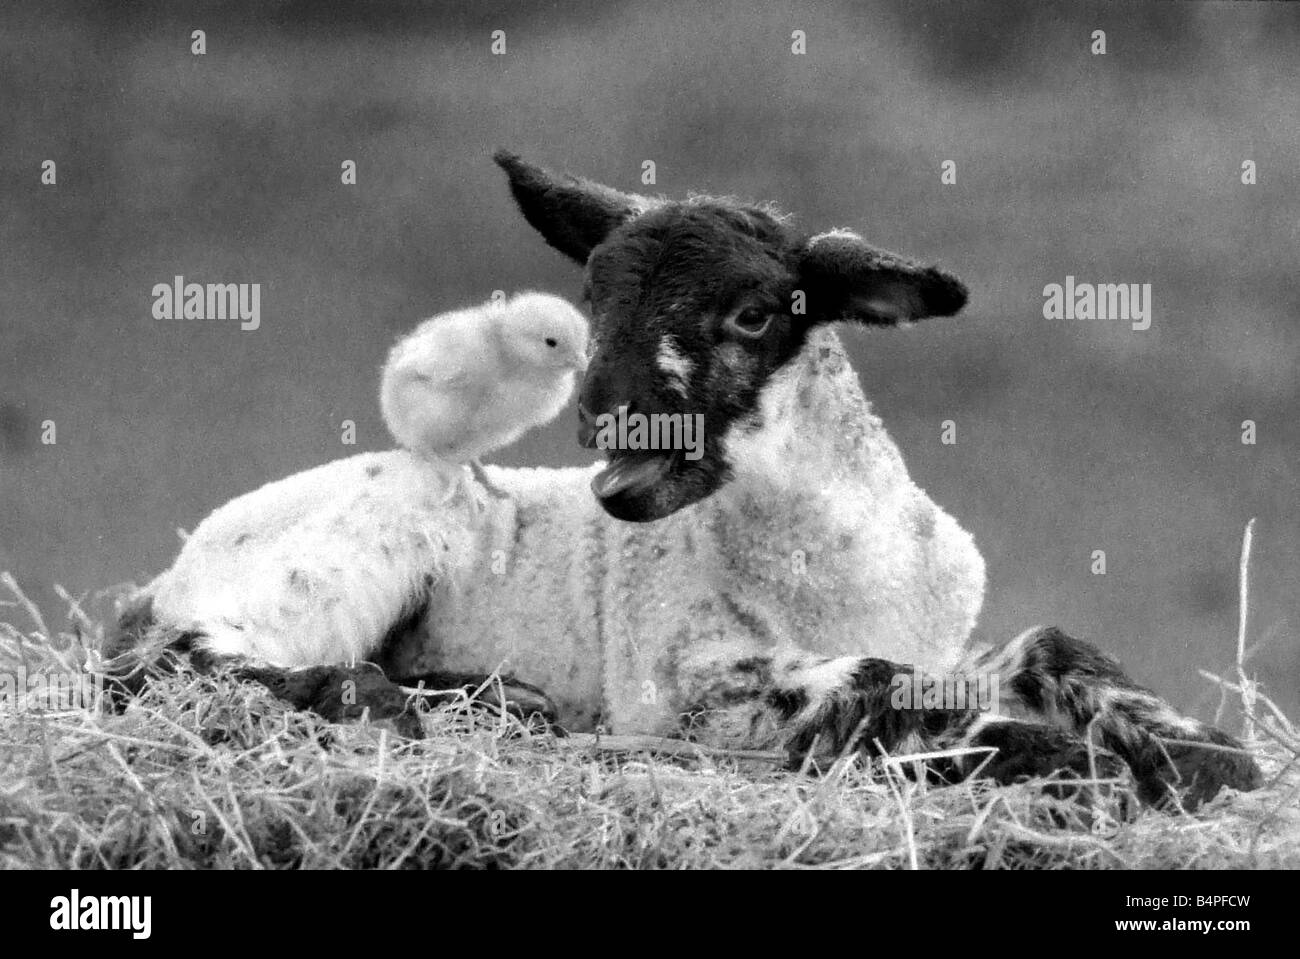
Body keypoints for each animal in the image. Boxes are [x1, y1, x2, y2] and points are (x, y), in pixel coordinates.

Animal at [106, 149, 1263, 805]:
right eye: (591, 295)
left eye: (753, 312)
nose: (605, 412)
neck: (832, 575)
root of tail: (170, 567)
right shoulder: (689, 691)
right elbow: (873, 684)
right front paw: (1061, 758)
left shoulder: (953, 635)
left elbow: (1053, 645)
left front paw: (1203, 754)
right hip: (343, 546)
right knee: (171, 664)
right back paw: (370, 696)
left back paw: (495, 698)